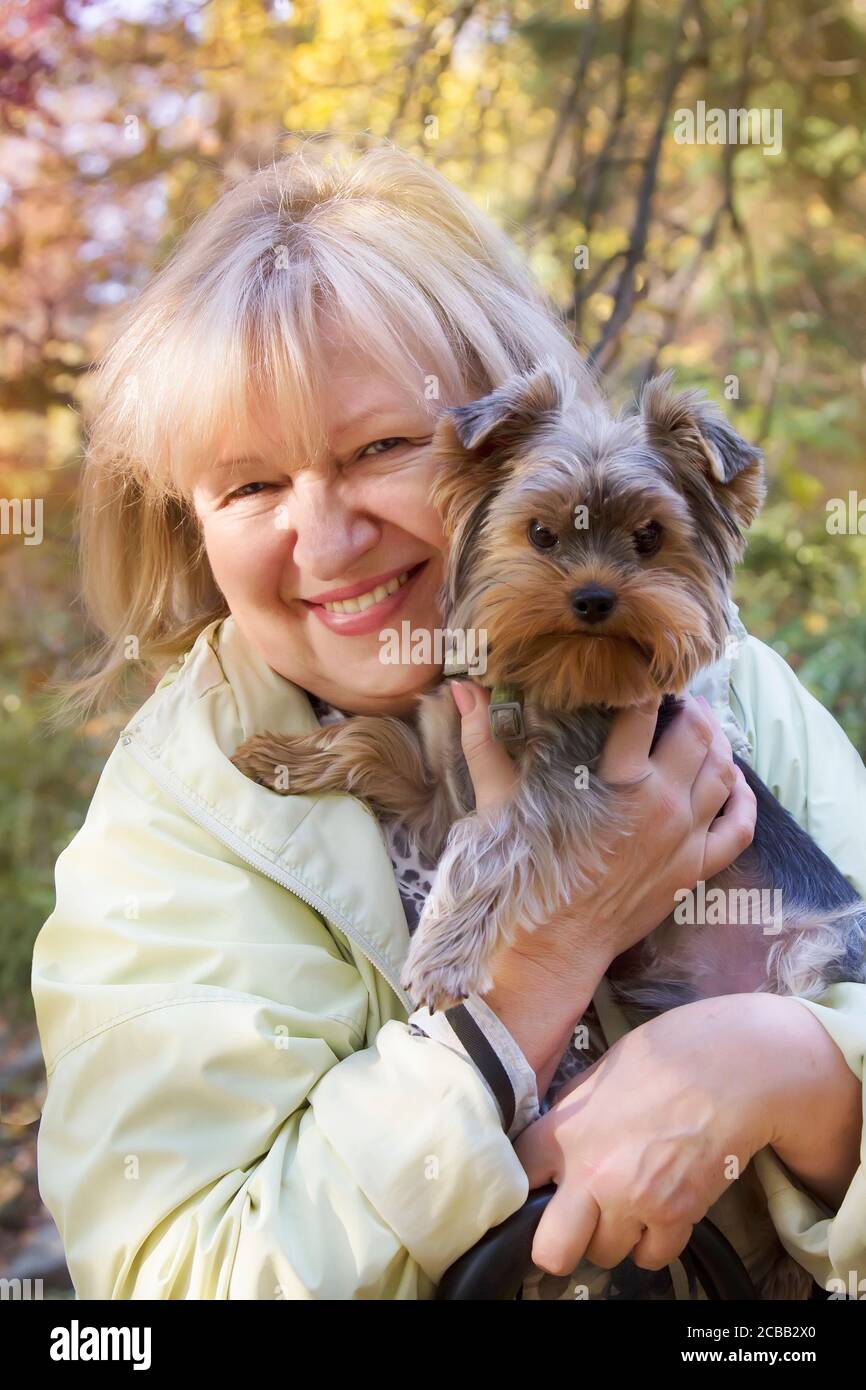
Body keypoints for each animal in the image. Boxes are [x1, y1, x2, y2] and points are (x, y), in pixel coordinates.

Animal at [232, 364, 866, 1028]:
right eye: (541, 533)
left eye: (649, 536)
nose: (593, 596)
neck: (539, 680)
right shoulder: (441, 793)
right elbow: (374, 742)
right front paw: (282, 757)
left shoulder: (572, 783)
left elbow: (495, 840)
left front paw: (442, 954)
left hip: (806, 963)